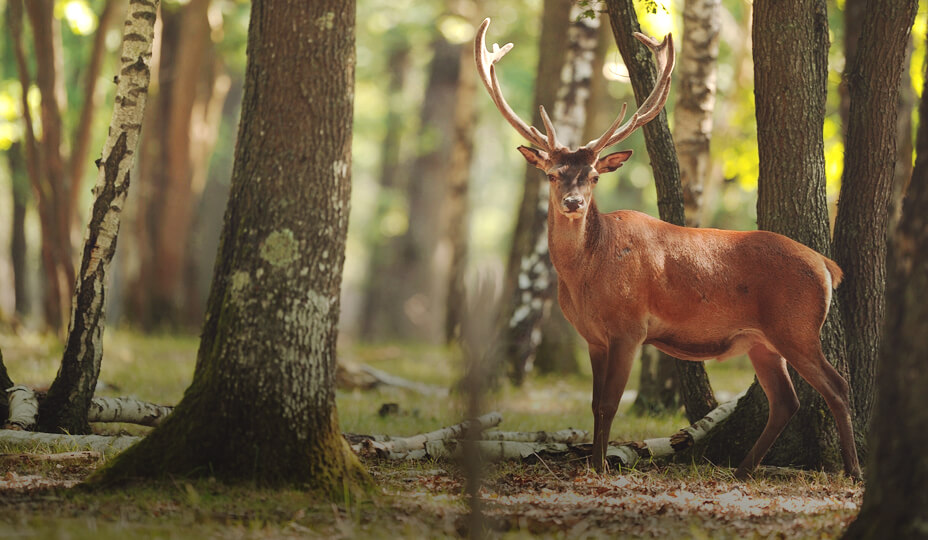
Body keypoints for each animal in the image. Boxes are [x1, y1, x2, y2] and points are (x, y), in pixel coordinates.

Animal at [478, 17, 864, 480]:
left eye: (593, 176)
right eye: (553, 174)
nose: (573, 203)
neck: (586, 275)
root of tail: (827, 265)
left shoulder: (630, 327)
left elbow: (609, 404)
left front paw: (601, 467)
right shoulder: (593, 337)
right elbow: (594, 403)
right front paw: (593, 462)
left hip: (797, 326)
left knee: (837, 385)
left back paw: (853, 469)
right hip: (762, 341)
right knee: (786, 400)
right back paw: (743, 468)